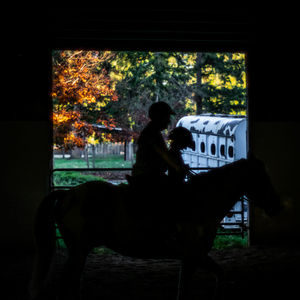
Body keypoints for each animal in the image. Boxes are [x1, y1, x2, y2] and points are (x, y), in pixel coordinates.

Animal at [29, 158, 282, 298]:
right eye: (261, 178)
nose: (276, 205)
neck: (199, 201)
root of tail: (68, 195)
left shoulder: (191, 257)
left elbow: (185, 288)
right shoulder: (194, 254)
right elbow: (217, 275)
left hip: (79, 251)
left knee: (73, 282)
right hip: (79, 250)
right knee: (67, 283)